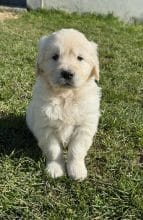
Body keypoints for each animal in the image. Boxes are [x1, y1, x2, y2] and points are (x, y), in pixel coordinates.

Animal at [26, 28, 101, 180]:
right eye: (55, 57)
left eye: (80, 58)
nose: (66, 73)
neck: (66, 96)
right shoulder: (46, 127)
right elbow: (53, 150)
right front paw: (55, 169)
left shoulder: (84, 127)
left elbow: (76, 150)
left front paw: (77, 171)